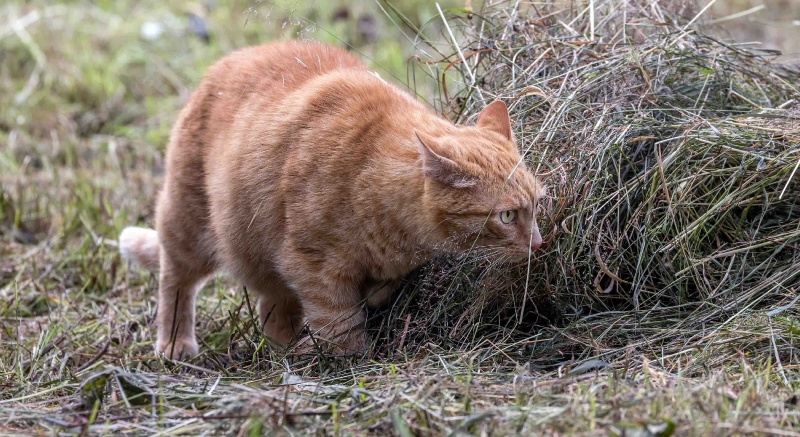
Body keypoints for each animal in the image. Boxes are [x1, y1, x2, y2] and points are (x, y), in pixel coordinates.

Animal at [117, 39, 544, 358]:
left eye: (538, 205)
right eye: (507, 216)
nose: (539, 243)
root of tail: (230, 58)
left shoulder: (383, 267)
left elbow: (375, 291)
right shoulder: (311, 264)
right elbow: (339, 320)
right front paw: (346, 359)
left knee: (271, 304)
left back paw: (284, 345)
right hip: (190, 223)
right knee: (175, 277)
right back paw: (176, 341)